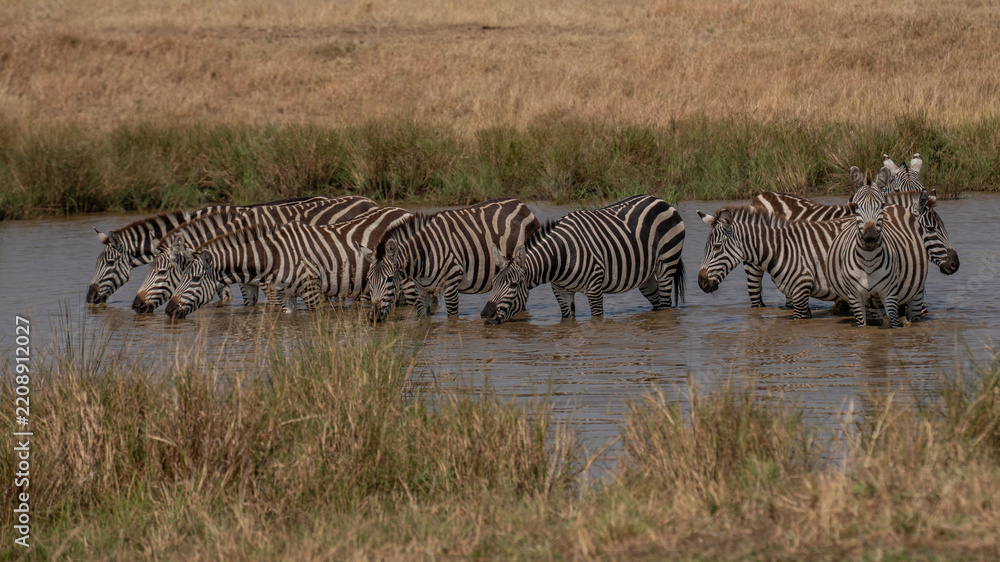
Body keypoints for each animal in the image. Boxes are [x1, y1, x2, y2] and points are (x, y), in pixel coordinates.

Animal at [164, 207, 413, 319]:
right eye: (180, 276)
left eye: (195, 278)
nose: (168, 310)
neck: (272, 254)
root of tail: (405, 211)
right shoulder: (288, 295)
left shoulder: (311, 290)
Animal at [364, 198, 540, 322]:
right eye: (369, 280)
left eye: (390, 279)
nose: (373, 317)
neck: (424, 254)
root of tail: (522, 204)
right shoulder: (421, 290)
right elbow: (422, 320)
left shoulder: (450, 286)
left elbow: (452, 320)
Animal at [480, 195, 685, 324]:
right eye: (493, 283)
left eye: (514, 285)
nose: (485, 315)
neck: (559, 257)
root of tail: (660, 200)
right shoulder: (561, 292)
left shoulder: (594, 288)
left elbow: (597, 320)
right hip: (645, 275)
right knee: (658, 302)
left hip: (667, 263)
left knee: (665, 304)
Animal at [827, 167, 928, 327]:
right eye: (855, 206)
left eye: (881, 205)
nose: (870, 237)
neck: (868, 260)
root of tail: (895, 206)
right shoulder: (855, 296)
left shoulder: (889, 294)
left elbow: (893, 323)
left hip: (916, 291)